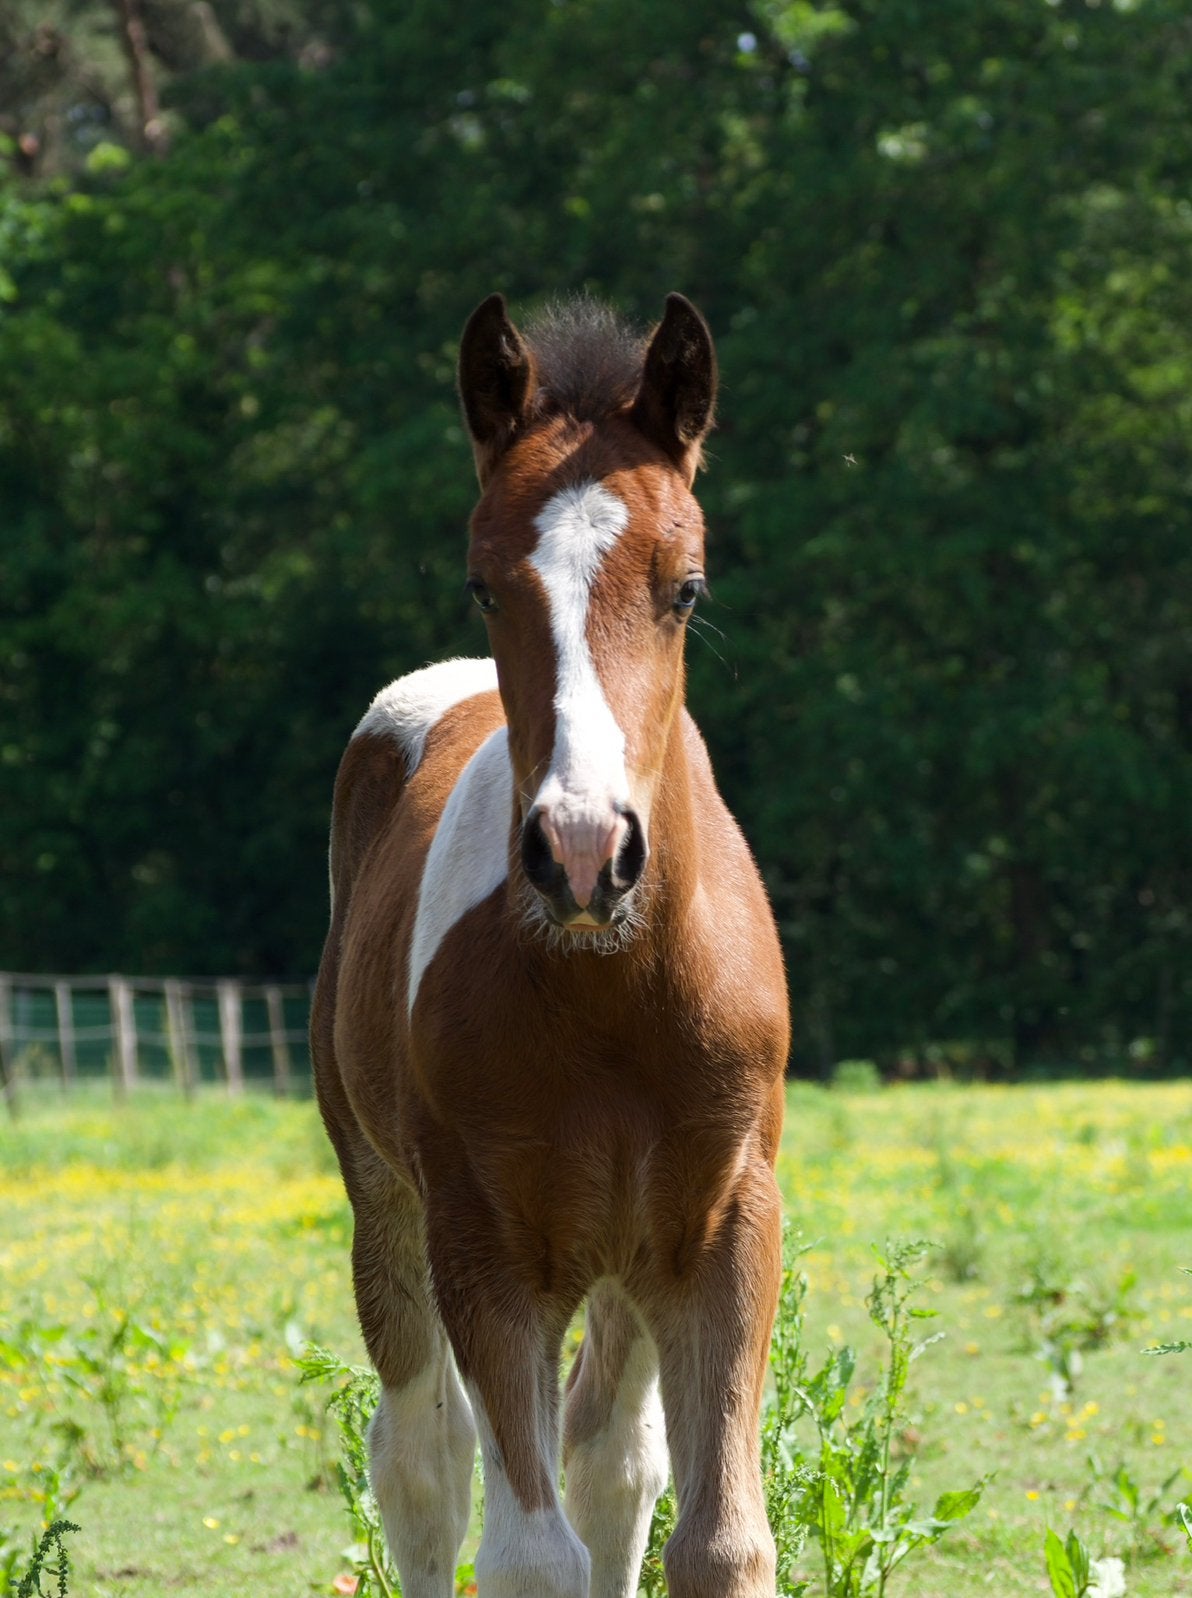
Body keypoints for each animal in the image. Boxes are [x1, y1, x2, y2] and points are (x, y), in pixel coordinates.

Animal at [310, 291, 789, 1598]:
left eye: (687, 586)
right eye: (484, 583)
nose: (582, 850)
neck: (610, 1000)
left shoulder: (727, 1225)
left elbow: (717, 1538)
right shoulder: (484, 1245)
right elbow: (528, 1550)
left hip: (629, 1256)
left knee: (609, 1459)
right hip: (386, 1199)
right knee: (422, 1462)